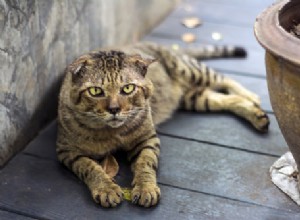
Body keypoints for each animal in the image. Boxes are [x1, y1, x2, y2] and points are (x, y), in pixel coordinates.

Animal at [55, 41, 270, 208]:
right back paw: (257, 115)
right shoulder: (67, 150)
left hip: (190, 70)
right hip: (196, 98)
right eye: (95, 91)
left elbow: (145, 163)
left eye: (128, 88)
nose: (114, 109)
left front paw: (146, 188)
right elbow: (91, 168)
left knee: (225, 79)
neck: (112, 133)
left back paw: (252, 96)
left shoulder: (147, 139)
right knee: (226, 99)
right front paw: (107, 188)